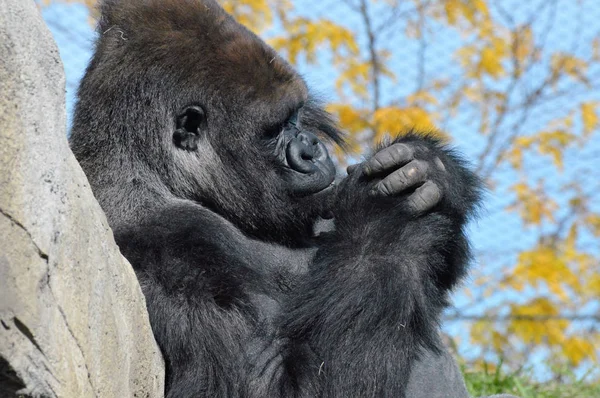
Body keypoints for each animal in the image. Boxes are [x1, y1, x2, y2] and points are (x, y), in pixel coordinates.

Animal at [69, 0, 488, 396]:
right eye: (274, 131)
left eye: (297, 117)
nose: (312, 148)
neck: (150, 171)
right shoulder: (165, 243)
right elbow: (263, 386)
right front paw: (387, 222)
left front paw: (432, 166)